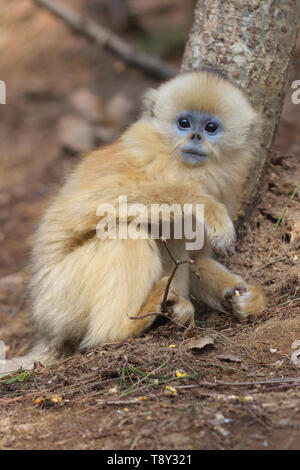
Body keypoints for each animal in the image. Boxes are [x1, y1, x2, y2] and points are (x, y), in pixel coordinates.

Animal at [1, 69, 266, 374]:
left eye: (211, 127)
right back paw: (126, 326)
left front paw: (243, 296)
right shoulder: (147, 156)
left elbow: (197, 259)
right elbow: (82, 206)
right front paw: (204, 204)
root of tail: (48, 332)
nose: (196, 136)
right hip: (59, 298)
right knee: (125, 236)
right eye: (184, 123)